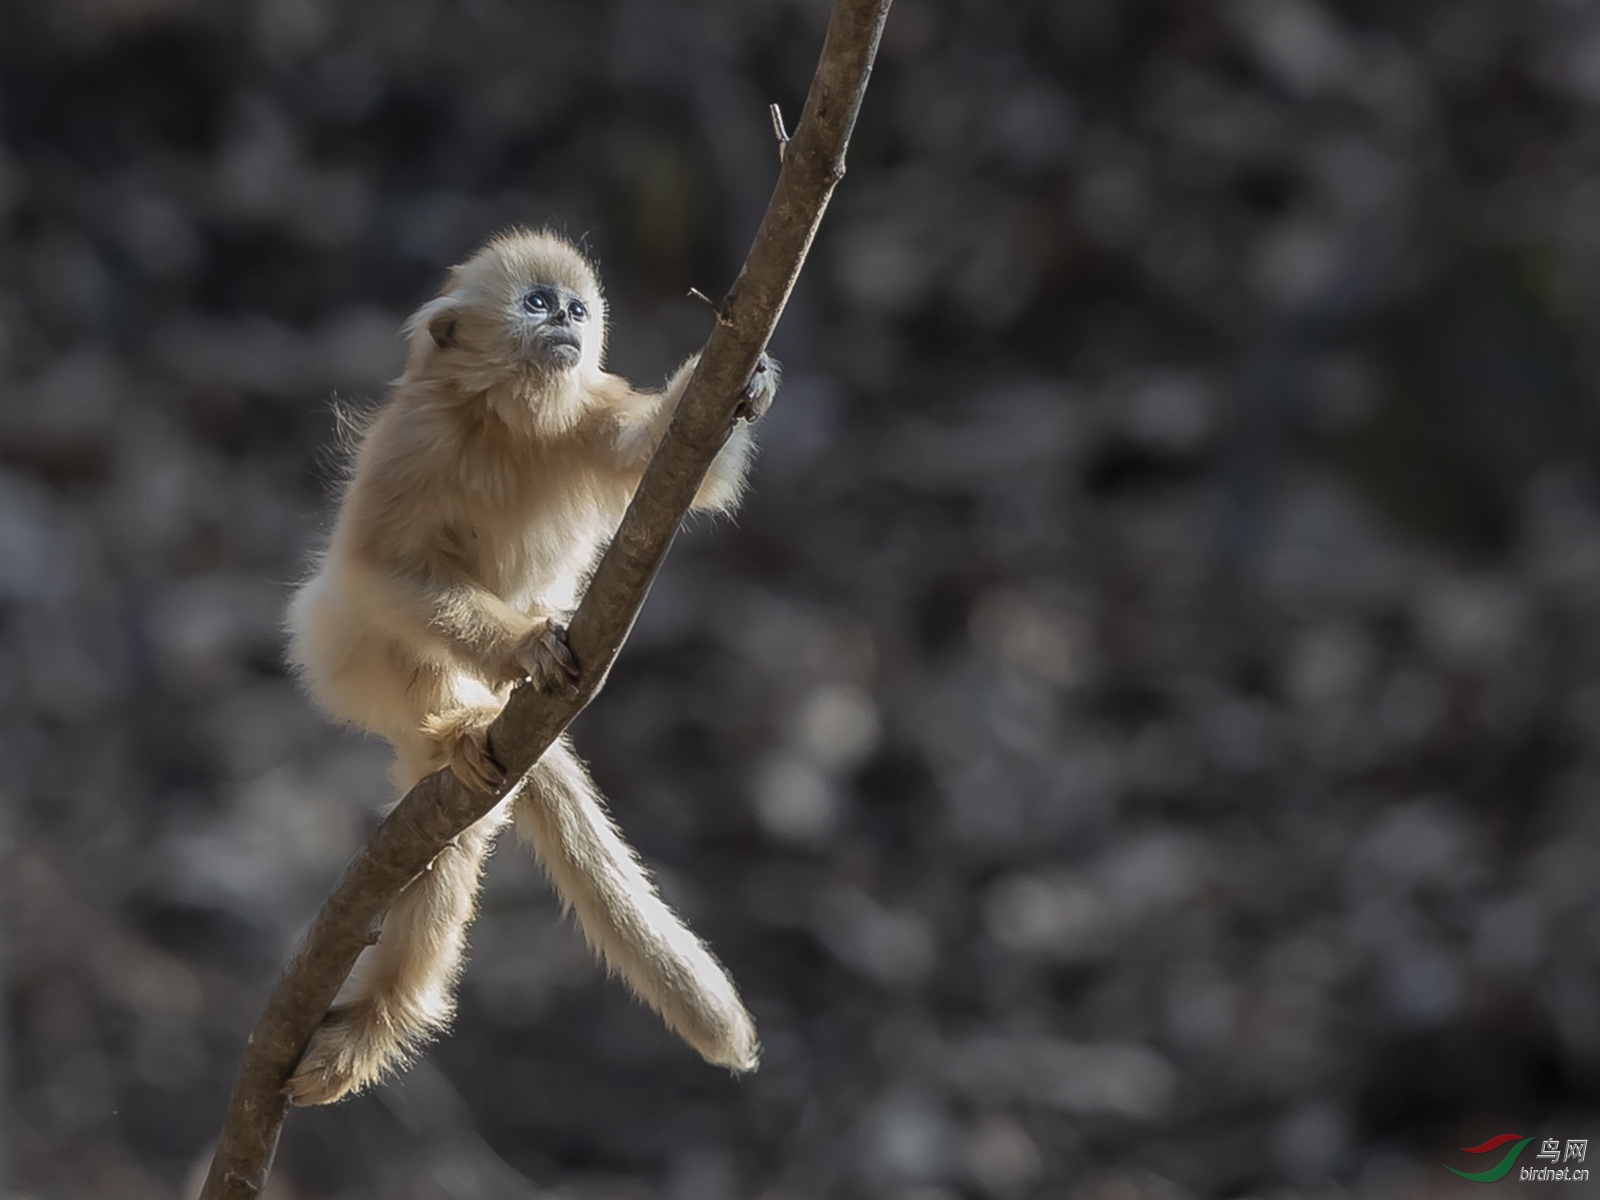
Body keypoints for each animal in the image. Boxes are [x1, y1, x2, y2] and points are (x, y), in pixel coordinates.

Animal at [286, 225, 774, 1107]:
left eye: (577, 307)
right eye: (536, 301)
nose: (566, 322)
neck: (506, 422)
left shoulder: (588, 413)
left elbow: (687, 463)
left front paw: (741, 382)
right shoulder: (414, 440)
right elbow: (384, 567)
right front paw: (526, 645)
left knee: (456, 840)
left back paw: (376, 1021)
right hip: (344, 653)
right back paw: (462, 728)